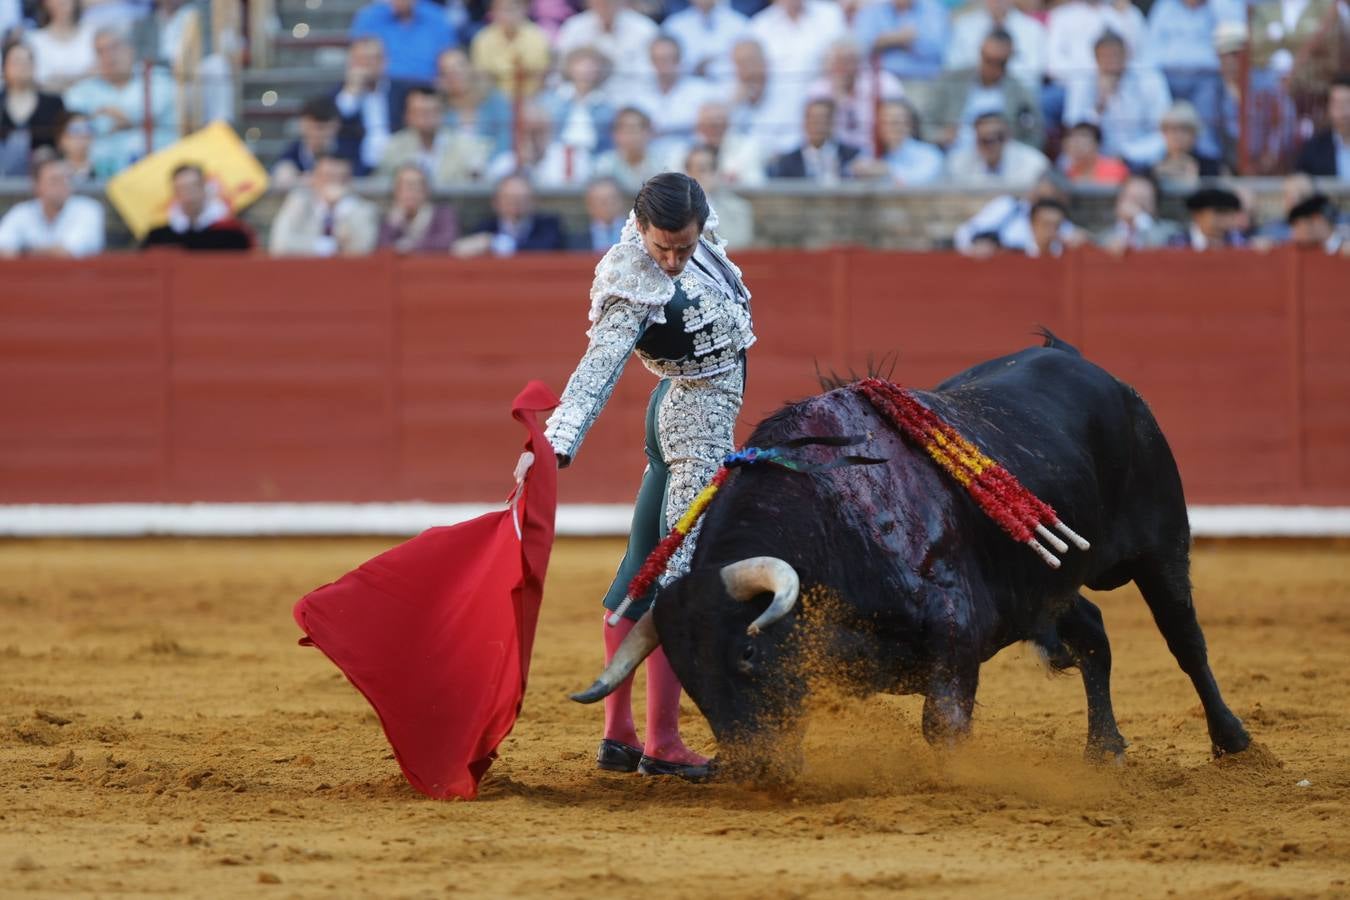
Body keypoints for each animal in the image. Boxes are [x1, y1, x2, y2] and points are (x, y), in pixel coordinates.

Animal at [572, 334, 1252, 777]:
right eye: (687, 676)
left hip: (1161, 542)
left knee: (1185, 641)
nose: (752, 772)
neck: (832, 523)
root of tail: (1086, 365)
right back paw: (1103, 748)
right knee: (1092, 631)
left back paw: (1233, 741)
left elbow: (942, 725)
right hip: (1047, 584)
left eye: (746, 653)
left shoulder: (957, 632)